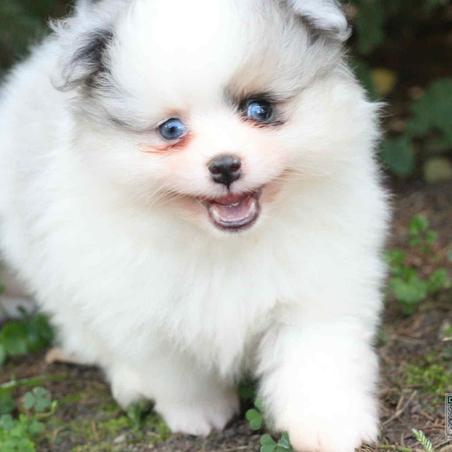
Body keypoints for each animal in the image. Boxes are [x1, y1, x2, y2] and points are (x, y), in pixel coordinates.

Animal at [0, 0, 389, 450]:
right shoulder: (140, 311)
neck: (224, 244)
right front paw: (198, 413)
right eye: (171, 130)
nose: (224, 165)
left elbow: (316, 360)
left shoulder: (318, 290)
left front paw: (330, 426)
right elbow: (175, 371)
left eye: (260, 109)